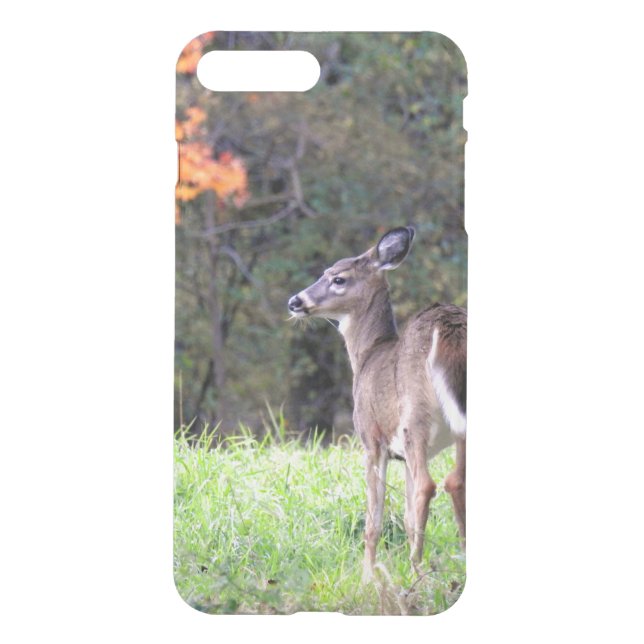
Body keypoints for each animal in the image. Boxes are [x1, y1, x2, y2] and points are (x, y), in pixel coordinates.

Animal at [287, 226, 466, 582]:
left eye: (337, 278)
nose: (295, 301)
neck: (367, 355)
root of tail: (447, 328)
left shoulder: (371, 438)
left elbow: (374, 518)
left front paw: (367, 576)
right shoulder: (402, 454)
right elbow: (408, 518)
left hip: (415, 413)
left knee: (429, 485)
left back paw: (417, 573)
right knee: (455, 480)